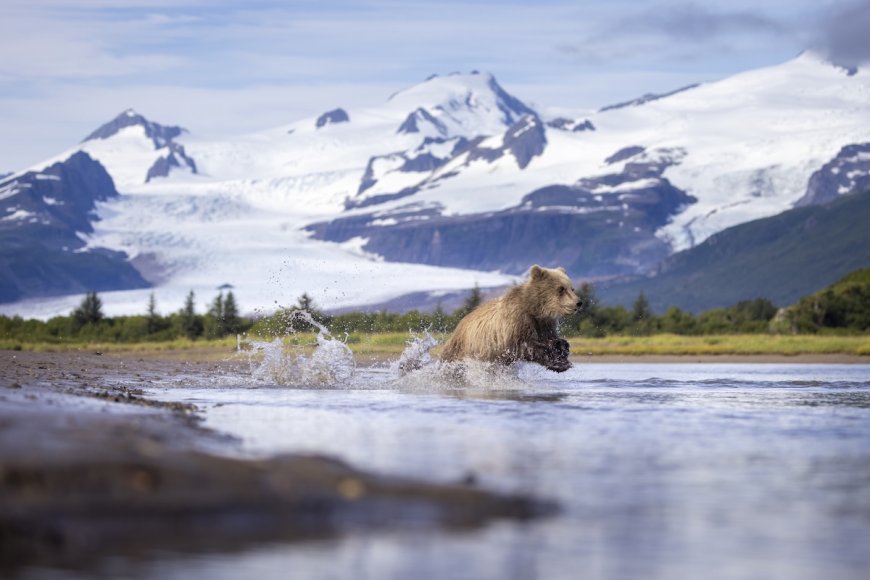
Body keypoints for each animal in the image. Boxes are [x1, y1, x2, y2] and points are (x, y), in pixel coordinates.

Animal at [440, 265, 581, 372]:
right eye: (561, 289)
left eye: (572, 288)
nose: (578, 303)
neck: (535, 310)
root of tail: (457, 328)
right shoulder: (516, 324)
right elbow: (526, 346)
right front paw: (558, 362)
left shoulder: (545, 325)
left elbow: (552, 339)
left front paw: (562, 349)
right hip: (460, 352)